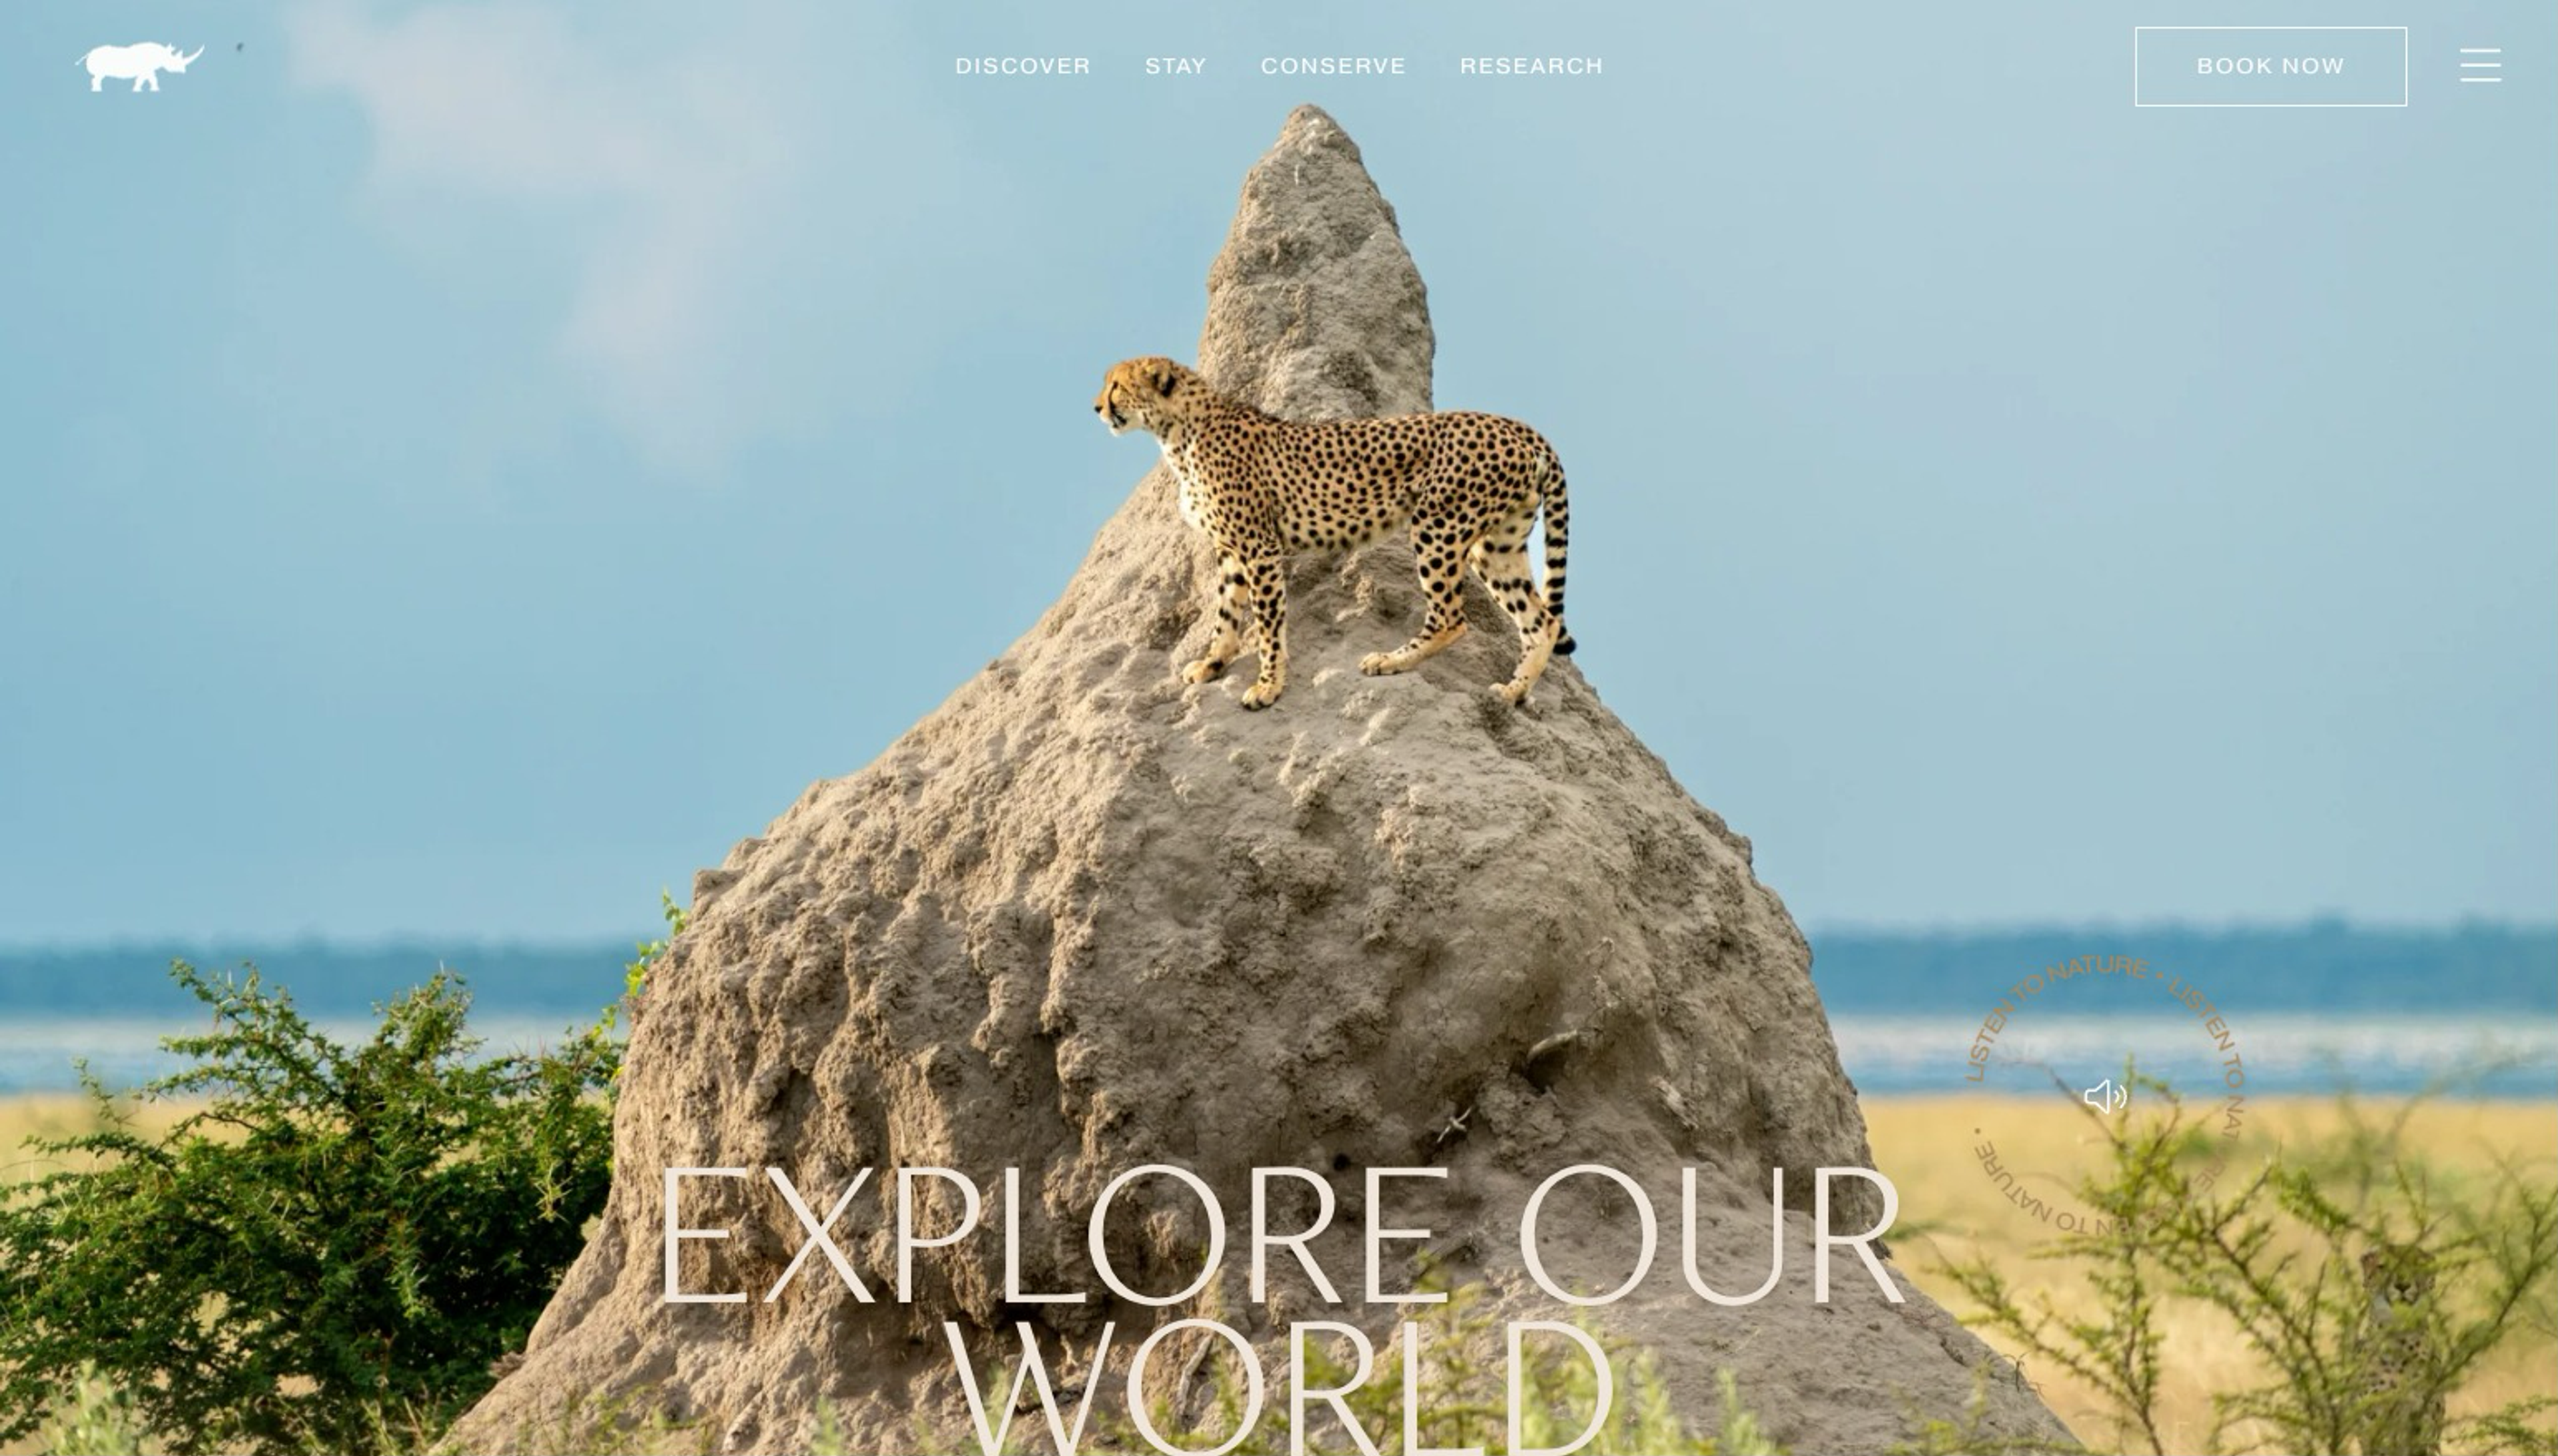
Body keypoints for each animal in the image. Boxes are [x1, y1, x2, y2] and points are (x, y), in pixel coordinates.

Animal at [1089, 358, 1565, 711]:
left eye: (1116, 386)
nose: (1096, 408)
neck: (1178, 431)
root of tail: (1518, 426)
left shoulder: (1259, 548)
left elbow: (1268, 623)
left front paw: (1268, 686)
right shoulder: (1231, 550)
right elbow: (1226, 613)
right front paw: (1213, 664)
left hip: (1438, 525)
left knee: (1452, 617)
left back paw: (1391, 661)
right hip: (1497, 543)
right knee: (1542, 620)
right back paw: (1514, 691)